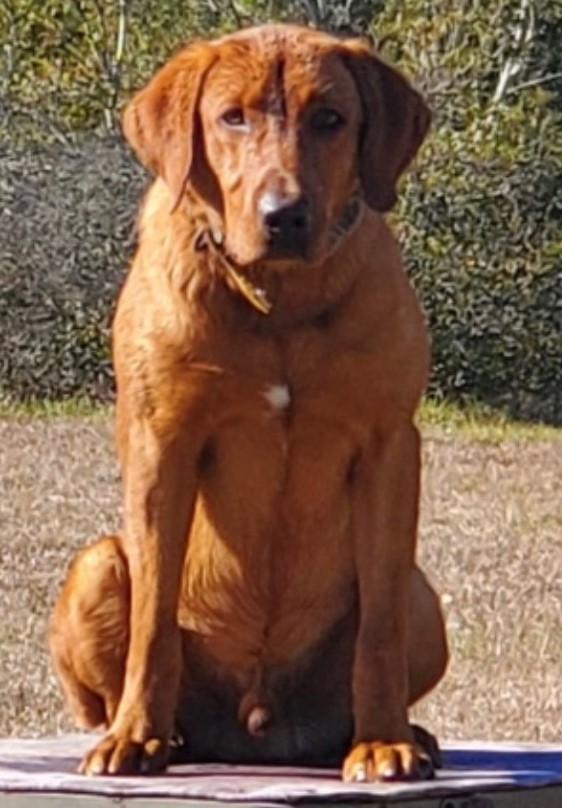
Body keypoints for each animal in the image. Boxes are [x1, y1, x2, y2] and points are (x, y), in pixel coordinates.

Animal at [50, 25, 448, 784]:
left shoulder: (388, 443)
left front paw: (384, 740)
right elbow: (153, 617)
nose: (283, 215)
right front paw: (134, 736)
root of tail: (259, 733)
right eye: (231, 117)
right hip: (95, 565)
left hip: (424, 593)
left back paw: (398, 730)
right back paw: (157, 732)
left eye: (330, 118)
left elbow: (379, 628)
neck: (277, 298)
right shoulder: (163, 443)